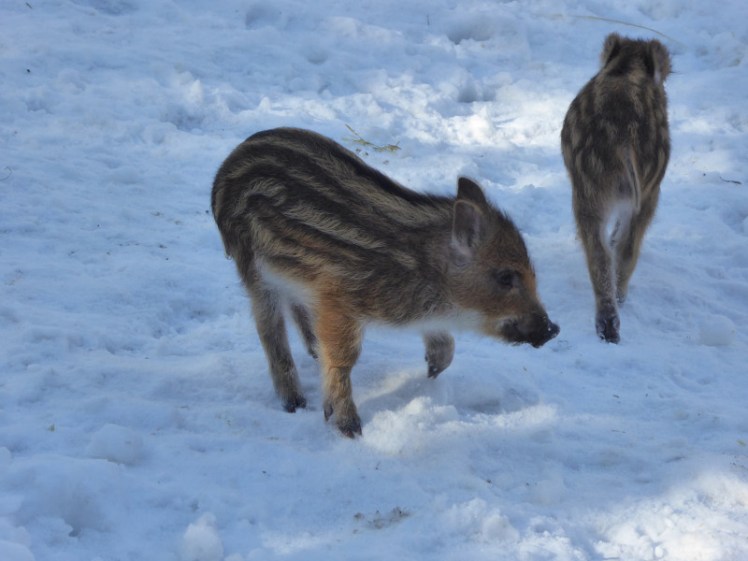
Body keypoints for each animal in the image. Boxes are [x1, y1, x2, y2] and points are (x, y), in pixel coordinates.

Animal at [212, 127, 559, 437]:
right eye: (505, 277)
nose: (552, 329)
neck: (421, 269)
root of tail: (229, 161)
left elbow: (445, 344)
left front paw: (432, 370)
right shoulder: (337, 302)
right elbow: (343, 359)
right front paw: (348, 427)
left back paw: (312, 353)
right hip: (252, 269)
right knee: (270, 329)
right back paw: (293, 401)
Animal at [561, 33, 671, 343]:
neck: (626, 67)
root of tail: (624, 138)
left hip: (588, 193)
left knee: (601, 252)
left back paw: (608, 325)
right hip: (644, 194)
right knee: (626, 247)